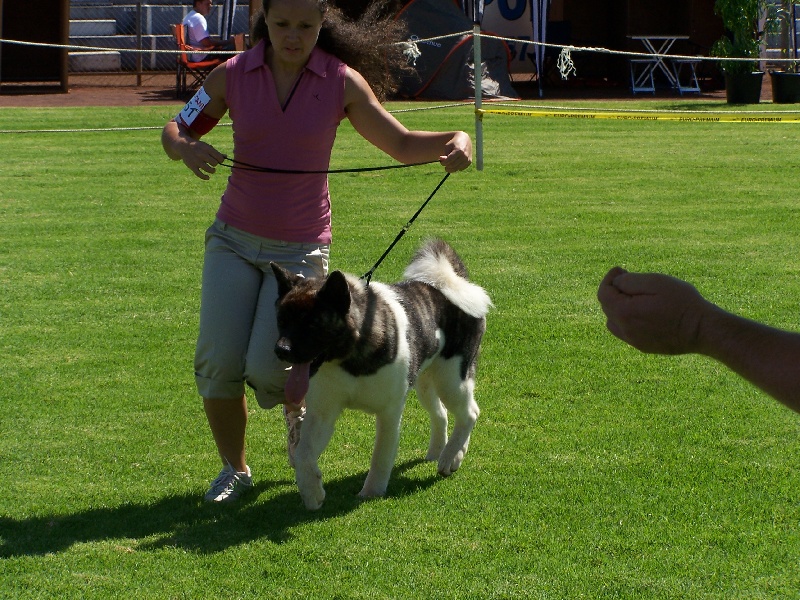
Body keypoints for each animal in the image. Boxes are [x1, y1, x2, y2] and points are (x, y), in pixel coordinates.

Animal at [272, 237, 490, 508]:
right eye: (281, 321)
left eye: (311, 325)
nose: (280, 350)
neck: (348, 357)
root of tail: (454, 283)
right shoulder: (322, 413)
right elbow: (304, 453)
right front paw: (312, 491)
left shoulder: (389, 413)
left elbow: (381, 455)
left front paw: (371, 492)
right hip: (426, 383)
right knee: (441, 414)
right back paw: (441, 452)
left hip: (452, 379)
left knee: (469, 413)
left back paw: (451, 457)